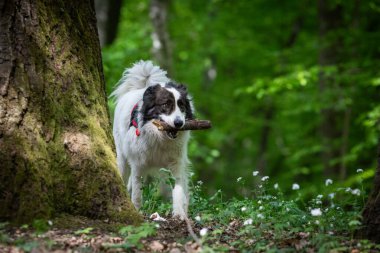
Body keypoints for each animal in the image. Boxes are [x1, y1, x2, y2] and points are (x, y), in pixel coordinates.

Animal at [109, 60, 193, 218]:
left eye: (182, 106)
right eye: (165, 104)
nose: (179, 123)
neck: (159, 137)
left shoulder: (176, 163)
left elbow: (179, 188)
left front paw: (180, 214)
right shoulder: (138, 164)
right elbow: (137, 193)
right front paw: (136, 211)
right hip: (122, 156)